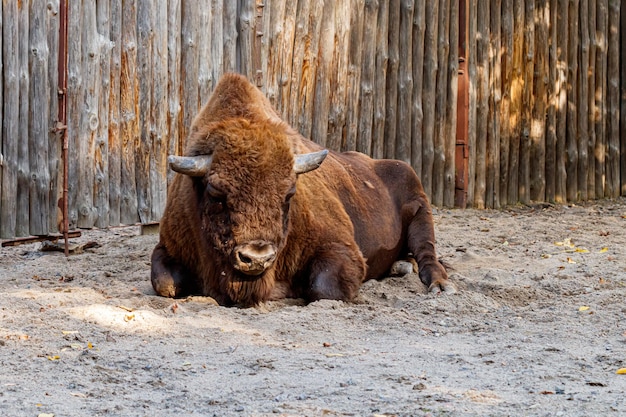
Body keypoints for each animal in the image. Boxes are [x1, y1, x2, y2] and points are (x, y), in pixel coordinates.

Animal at [151, 72, 454, 306]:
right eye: (215, 192)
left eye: (289, 194)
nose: (257, 258)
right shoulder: (168, 247)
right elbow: (164, 283)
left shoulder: (340, 248)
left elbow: (323, 288)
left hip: (421, 210)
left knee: (427, 252)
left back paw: (439, 285)